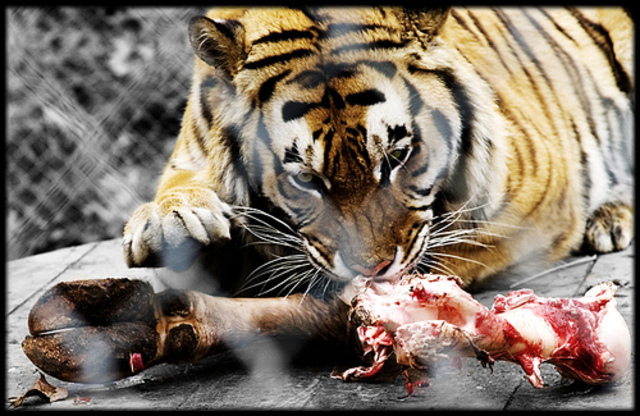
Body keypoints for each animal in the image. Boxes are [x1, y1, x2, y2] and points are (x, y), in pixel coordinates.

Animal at [122, 6, 633, 300]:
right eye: (305, 180)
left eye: (396, 157)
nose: (372, 268)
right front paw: (173, 222)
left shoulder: (541, 198)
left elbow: (454, 251)